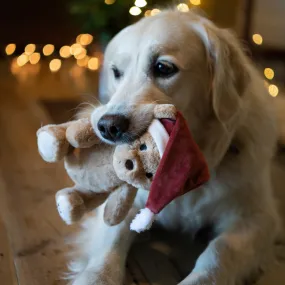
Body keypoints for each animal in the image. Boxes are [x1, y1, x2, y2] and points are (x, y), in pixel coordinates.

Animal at [68, 7, 280, 282]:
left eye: (163, 67)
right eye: (116, 72)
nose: (107, 127)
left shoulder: (257, 218)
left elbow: (219, 252)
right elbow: (112, 239)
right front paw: (96, 277)